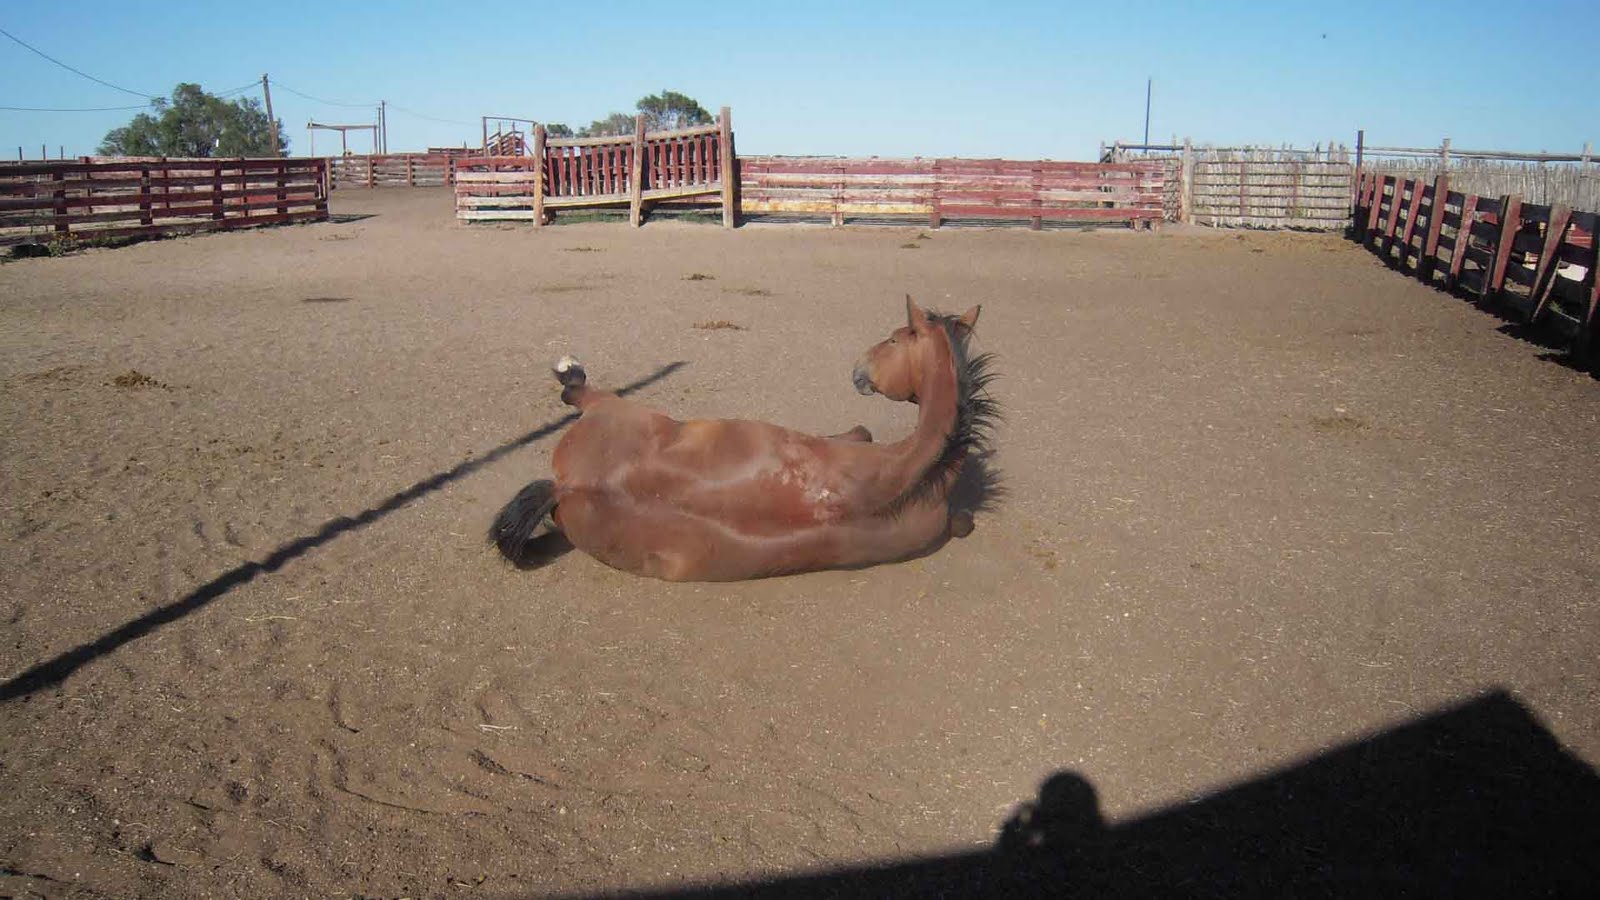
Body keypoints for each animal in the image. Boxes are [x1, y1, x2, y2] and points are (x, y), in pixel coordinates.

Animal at [490, 296, 997, 582]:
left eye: (892, 339)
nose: (858, 371)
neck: (907, 477)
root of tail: (567, 486)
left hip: (617, 408)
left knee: (576, 392)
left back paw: (568, 368)